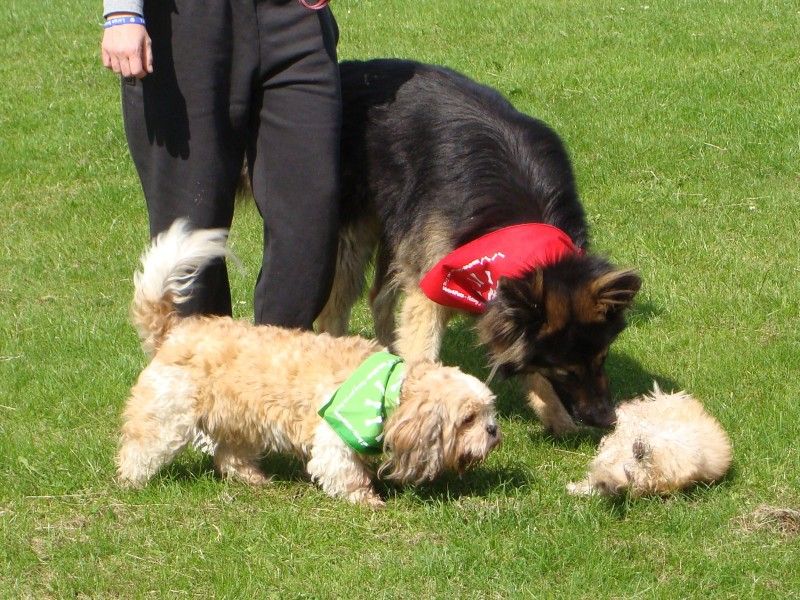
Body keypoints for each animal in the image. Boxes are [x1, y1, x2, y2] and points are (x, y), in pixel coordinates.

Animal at [115, 220, 500, 506]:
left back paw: (252, 478)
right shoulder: (335, 434)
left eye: (488, 413)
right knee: (140, 447)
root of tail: (175, 329)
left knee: (230, 455)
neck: (390, 388)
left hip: (239, 419)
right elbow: (344, 472)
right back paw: (131, 481)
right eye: (467, 420)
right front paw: (367, 499)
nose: (494, 431)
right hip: (166, 416)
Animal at [316, 59, 640, 436]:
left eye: (603, 357)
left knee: (379, 298)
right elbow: (425, 347)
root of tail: (349, 69)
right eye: (564, 370)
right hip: (354, 235)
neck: (515, 229)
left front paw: (559, 420)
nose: (606, 419)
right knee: (335, 308)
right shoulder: (433, 283)